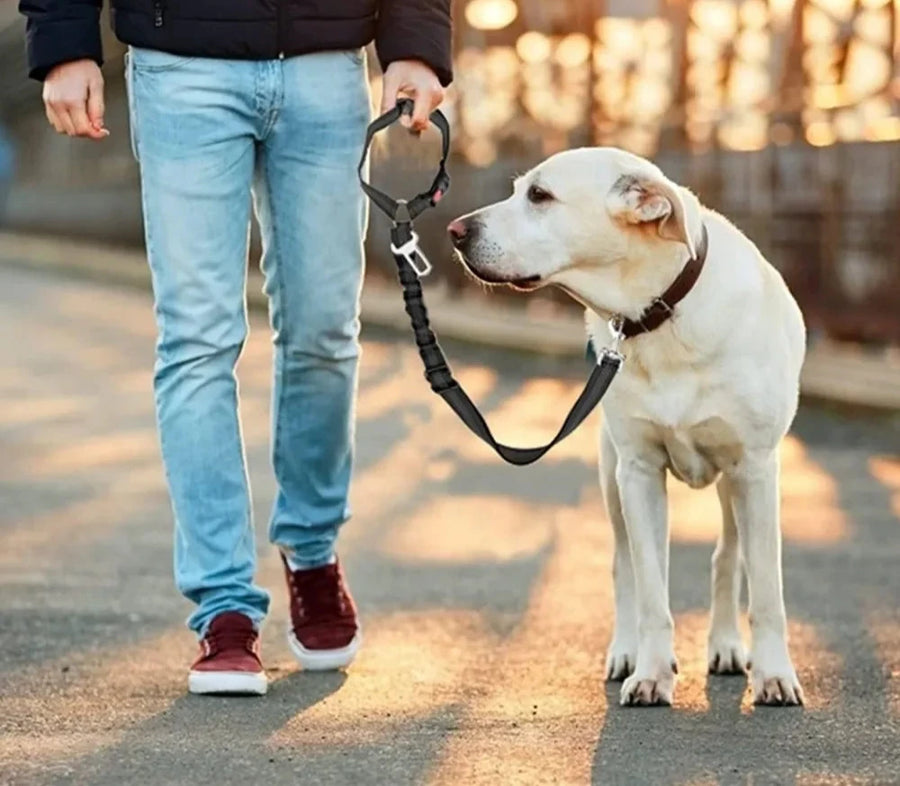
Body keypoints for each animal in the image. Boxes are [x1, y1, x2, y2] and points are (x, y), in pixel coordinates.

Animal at [450, 145, 808, 704]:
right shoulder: (638, 472)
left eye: (539, 195)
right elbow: (650, 592)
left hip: (733, 484)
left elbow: (767, 590)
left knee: (728, 557)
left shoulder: (755, 469)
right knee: (625, 567)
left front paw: (774, 674)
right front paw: (652, 672)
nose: (455, 231)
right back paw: (626, 651)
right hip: (611, 476)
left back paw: (726, 644)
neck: (661, 314)